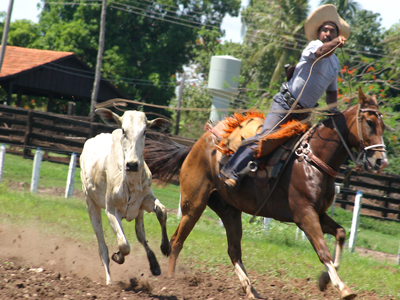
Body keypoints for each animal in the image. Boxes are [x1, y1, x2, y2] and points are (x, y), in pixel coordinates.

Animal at [80, 107, 172, 284]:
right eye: (124, 130)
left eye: (145, 131)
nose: (133, 164)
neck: (130, 182)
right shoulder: (111, 210)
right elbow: (124, 245)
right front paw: (118, 256)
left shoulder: (145, 201)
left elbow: (162, 211)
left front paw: (166, 247)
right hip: (91, 203)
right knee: (102, 247)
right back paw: (109, 280)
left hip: (137, 212)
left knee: (140, 234)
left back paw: (154, 265)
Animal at [144, 86, 388, 298]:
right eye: (369, 122)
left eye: (383, 126)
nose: (380, 161)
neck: (312, 159)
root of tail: (193, 148)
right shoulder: (305, 215)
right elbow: (322, 250)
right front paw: (343, 288)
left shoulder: (318, 214)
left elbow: (340, 233)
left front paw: (324, 280)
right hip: (194, 204)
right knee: (177, 240)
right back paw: (172, 282)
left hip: (229, 210)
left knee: (234, 250)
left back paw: (251, 291)